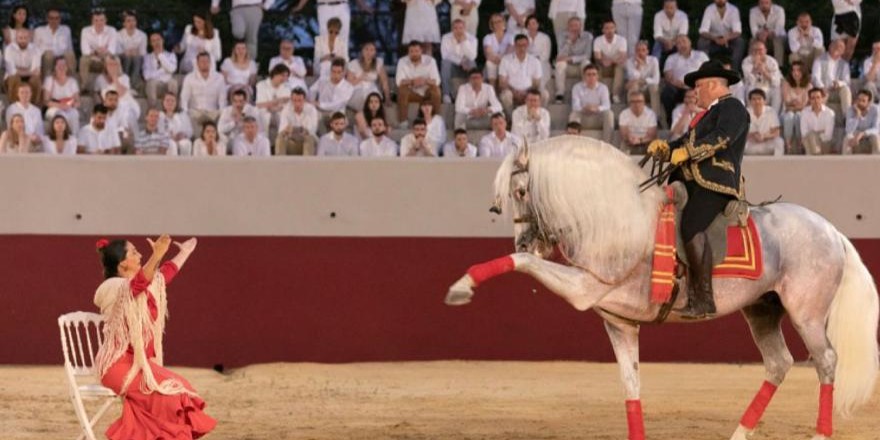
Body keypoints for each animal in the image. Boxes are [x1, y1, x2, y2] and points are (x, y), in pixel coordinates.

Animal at [445, 135, 879, 440]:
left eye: (521, 192)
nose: (525, 242)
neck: (615, 216)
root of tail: (832, 231)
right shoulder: (618, 322)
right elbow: (631, 384)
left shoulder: (585, 287)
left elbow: (523, 265)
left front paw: (462, 286)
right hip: (761, 310)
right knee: (779, 363)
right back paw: (740, 431)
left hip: (807, 313)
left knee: (826, 360)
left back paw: (821, 432)